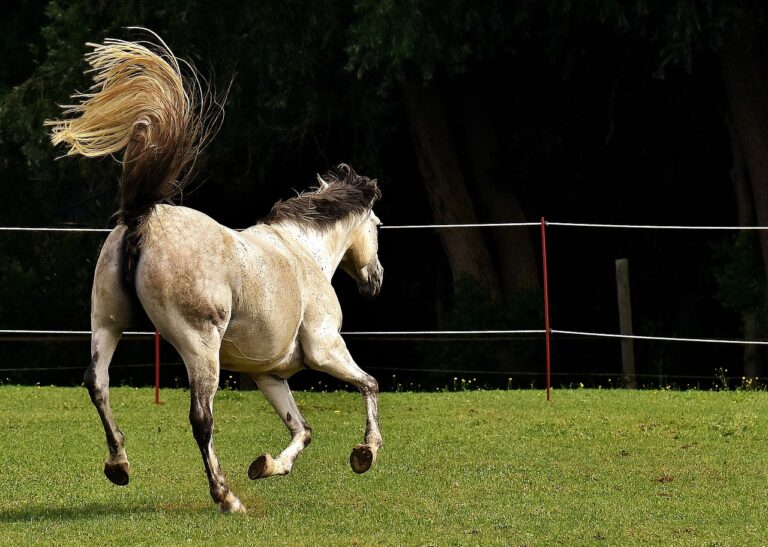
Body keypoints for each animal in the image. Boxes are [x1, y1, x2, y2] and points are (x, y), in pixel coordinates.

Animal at [45, 32, 384, 516]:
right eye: (378, 226)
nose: (376, 279)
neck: (301, 252)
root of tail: (142, 219)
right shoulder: (325, 350)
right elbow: (369, 385)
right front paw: (365, 453)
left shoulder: (270, 374)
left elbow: (301, 429)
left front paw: (267, 465)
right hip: (199, 346)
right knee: (201, 418)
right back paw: (225, 496)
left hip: (107, 322)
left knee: (98, 383)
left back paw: (119, 465)